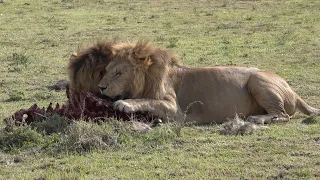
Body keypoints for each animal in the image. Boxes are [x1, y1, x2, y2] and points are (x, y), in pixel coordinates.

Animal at [98, 40, 320, 124]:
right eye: (106, 71)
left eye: (118, 73)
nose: (100, 87)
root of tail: (295, 92)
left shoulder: (175, 109)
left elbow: (147, 100)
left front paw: (125, 104)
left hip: (257, 79)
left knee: (283, 115)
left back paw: (257, 119)